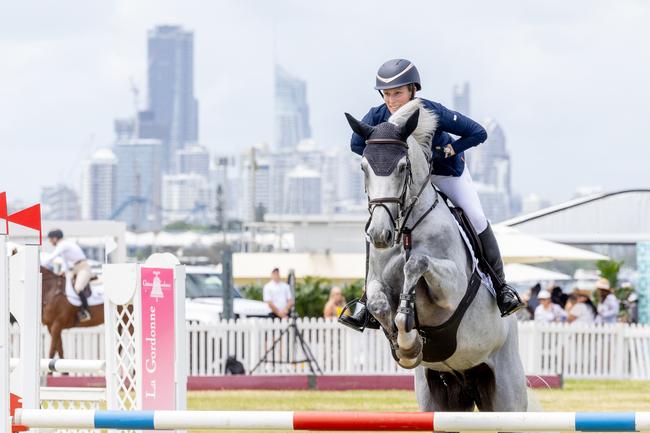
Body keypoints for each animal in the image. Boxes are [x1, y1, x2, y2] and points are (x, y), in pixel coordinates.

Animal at [344, 99, 528, 414]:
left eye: (402, 167)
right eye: (363, 167)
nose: (380, 234)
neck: (406, 228)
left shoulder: (452, 289)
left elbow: (417, 263)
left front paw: (407, 332)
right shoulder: (377, 282)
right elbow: (379, 305)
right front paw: (405, 346)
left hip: (507, 394)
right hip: (440, 396)